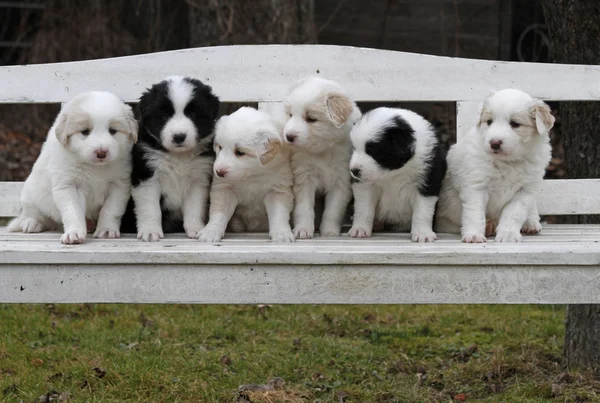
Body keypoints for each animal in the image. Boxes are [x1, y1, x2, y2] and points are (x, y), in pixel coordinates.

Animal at [8, 91, 137, 245]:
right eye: (85, 132)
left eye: (113, 131)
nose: (101, 152)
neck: (95, 167)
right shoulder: (68, 185)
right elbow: (73, 211)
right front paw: (74, 234)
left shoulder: (119, 185)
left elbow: (111, 210)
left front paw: (106, 230)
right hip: (31, 193)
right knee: (35, 213)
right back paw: (31, 223)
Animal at [123, 76, 220, 241]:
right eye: (164, 116)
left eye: (194, 115)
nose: (179, 137)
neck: (178, 156)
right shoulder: (147, 177)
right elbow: (151, 208)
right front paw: (150, 231)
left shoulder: (198, 179)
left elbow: (194, 206)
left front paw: (195, 228)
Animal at [198, 105, 294, 243]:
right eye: (220, 147)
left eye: (240, 152)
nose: (219, 172)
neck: (251, 175)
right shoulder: (224, 190)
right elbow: (218, 213)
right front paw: (210, 231)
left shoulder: (277, 190)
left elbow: (279, 214)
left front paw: (282, 234)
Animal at [282, 76, 360, 238]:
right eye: (290, 115)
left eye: (311, 119)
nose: (288, 136)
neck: (323, 151)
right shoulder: (304, 178)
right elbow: (304, 208)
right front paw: (303, 230)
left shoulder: (341, 182)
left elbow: (333, 210)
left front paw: (329, 231)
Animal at [434, 89, 556, 243]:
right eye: (489, 122)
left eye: (515, 124)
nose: (494, 143)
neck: (507, 162)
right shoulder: (477, 186)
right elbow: (475, 213)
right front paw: (474, 235)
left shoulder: (525, 190)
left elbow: (513, 214)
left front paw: (508, 235)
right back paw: (488, 226)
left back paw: (531, 223)